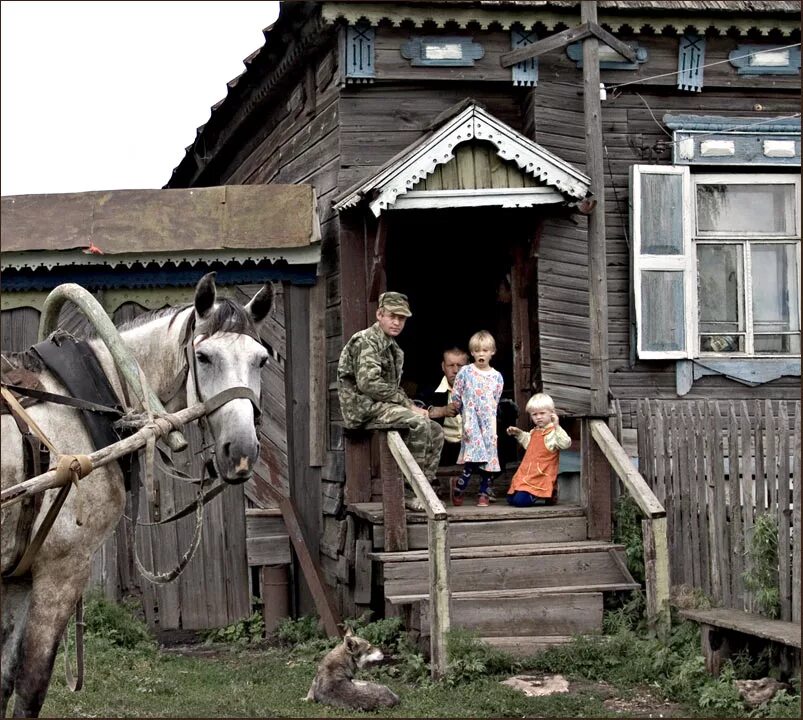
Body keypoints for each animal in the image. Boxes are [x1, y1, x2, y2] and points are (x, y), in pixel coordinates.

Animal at [1, 272, 274, 716]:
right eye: (204, 357)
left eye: (261, 360)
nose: (242, 452)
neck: (83, 405)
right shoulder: (62, 569)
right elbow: (30, 685)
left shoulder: (19, 575)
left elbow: (4, 680)